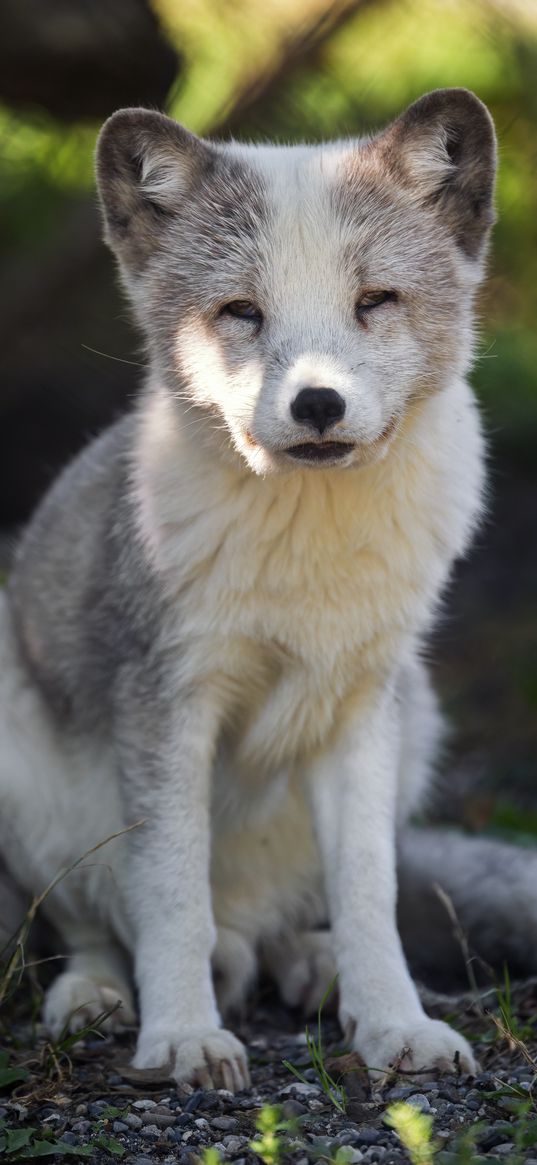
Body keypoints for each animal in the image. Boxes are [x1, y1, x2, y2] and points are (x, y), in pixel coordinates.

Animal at [0, 86, 524, 1085]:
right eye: (240, 312)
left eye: (374, 301)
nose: (317, 405)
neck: (306, 548)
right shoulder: (167, 698)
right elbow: (170, 891)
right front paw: (181, 1035)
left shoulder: (359, 707)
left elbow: (369, 892)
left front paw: (392, 1023)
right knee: (92, 922)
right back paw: (97, 996)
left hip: (417, 714)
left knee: (283, 921)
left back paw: (310, 965)